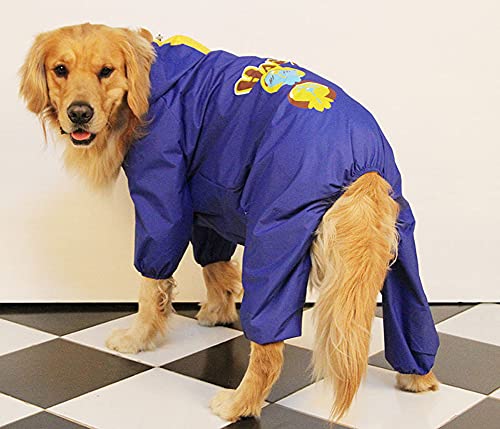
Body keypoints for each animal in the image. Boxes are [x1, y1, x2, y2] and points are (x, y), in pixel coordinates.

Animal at [21, 25, 440, 422]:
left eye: (106, 71)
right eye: (60, 70)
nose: (79, 113)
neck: (153, 84)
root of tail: (362, 159)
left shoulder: (163, 195)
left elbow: (152, 281)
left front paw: (138, 337)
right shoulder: (208, 198)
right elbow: (214, 264)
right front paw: (218, 311)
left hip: (276, 236)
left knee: (269, 345)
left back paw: (239, 403)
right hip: (400, 245)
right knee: (414, 314)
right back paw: (418, 376)